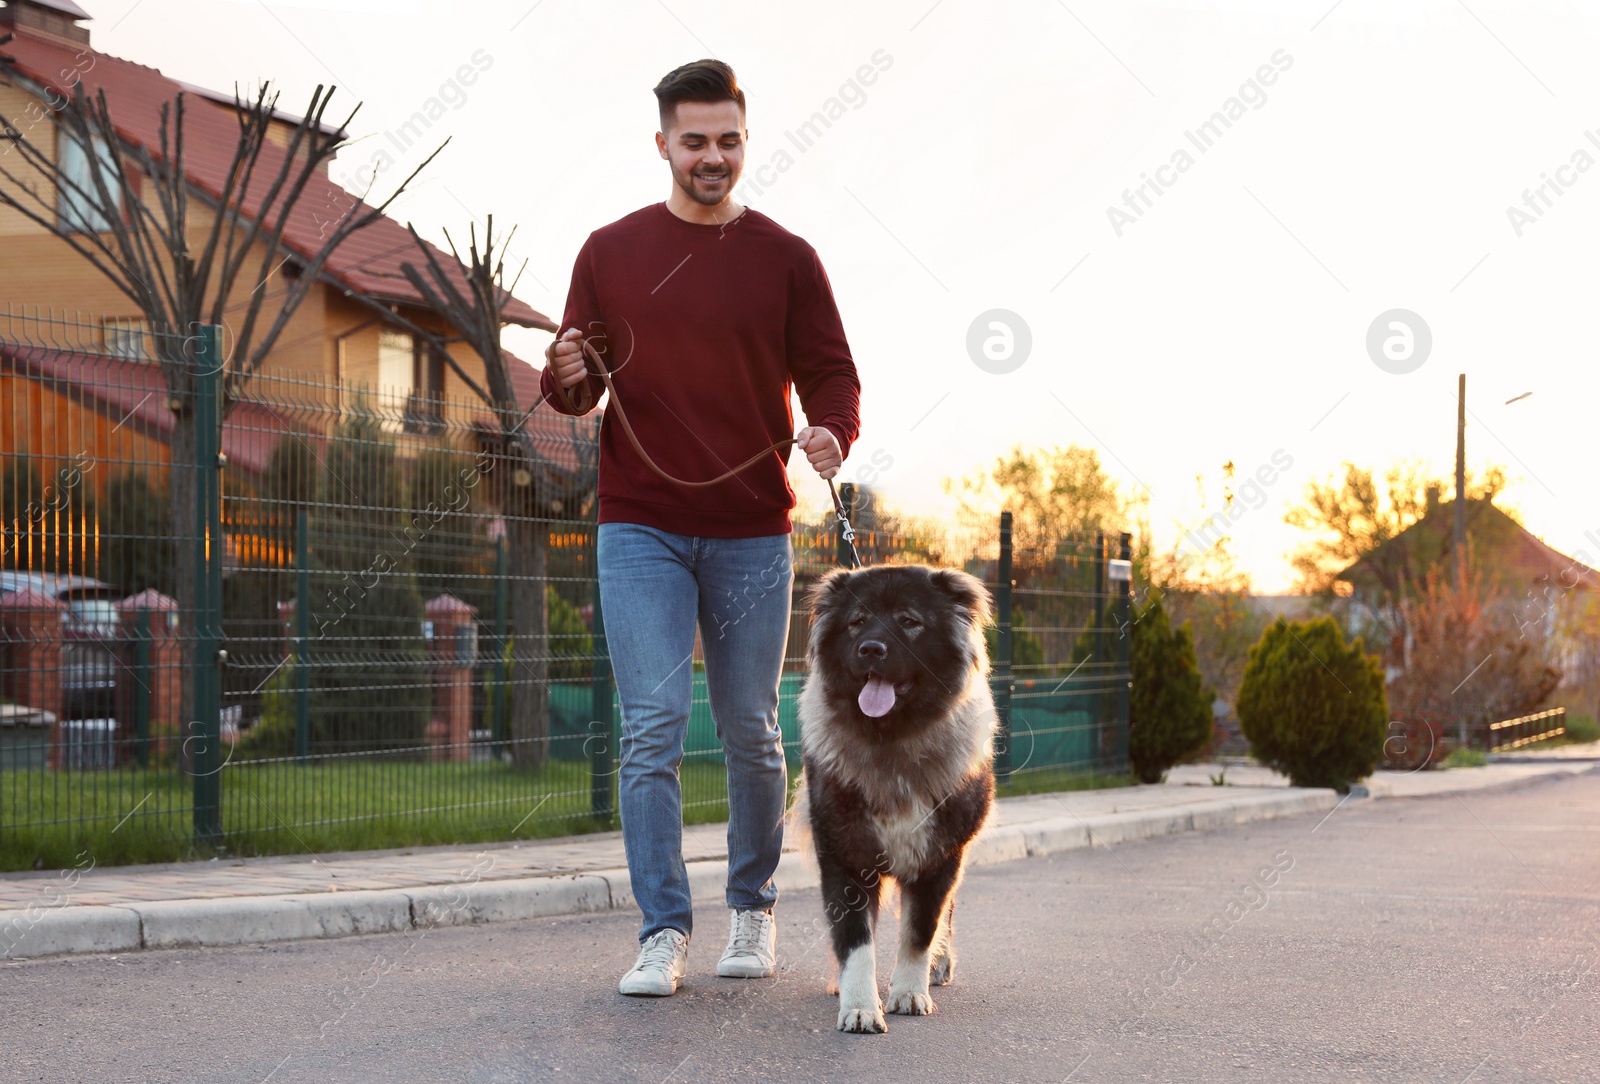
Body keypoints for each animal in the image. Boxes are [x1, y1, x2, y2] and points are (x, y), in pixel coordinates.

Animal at [793, 569, 992, 1036]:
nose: (871, 648)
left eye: (909, 622)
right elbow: (855, 941)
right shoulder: (845, 857)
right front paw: (860, 1006)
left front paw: (909, 992)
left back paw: (939, 966)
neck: (892, 740)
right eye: (857, 622)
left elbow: (920, 931)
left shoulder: (940, 858)